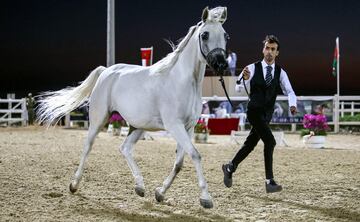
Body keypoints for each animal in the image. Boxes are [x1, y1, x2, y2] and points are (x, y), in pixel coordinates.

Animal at [36, 6, 228, 208]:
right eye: (205, 35)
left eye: (226, 35)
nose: (221, 64)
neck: (182, 81)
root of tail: (106, 71)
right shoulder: (174, 125)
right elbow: (195, 155)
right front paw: (206, 198)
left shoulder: (188, 127)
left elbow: (179, 163)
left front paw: (160, 193)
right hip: (99, 118)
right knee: (88, 146)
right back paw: (74, 184)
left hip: (138, 126)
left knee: (125, 148)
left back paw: (140, 186)